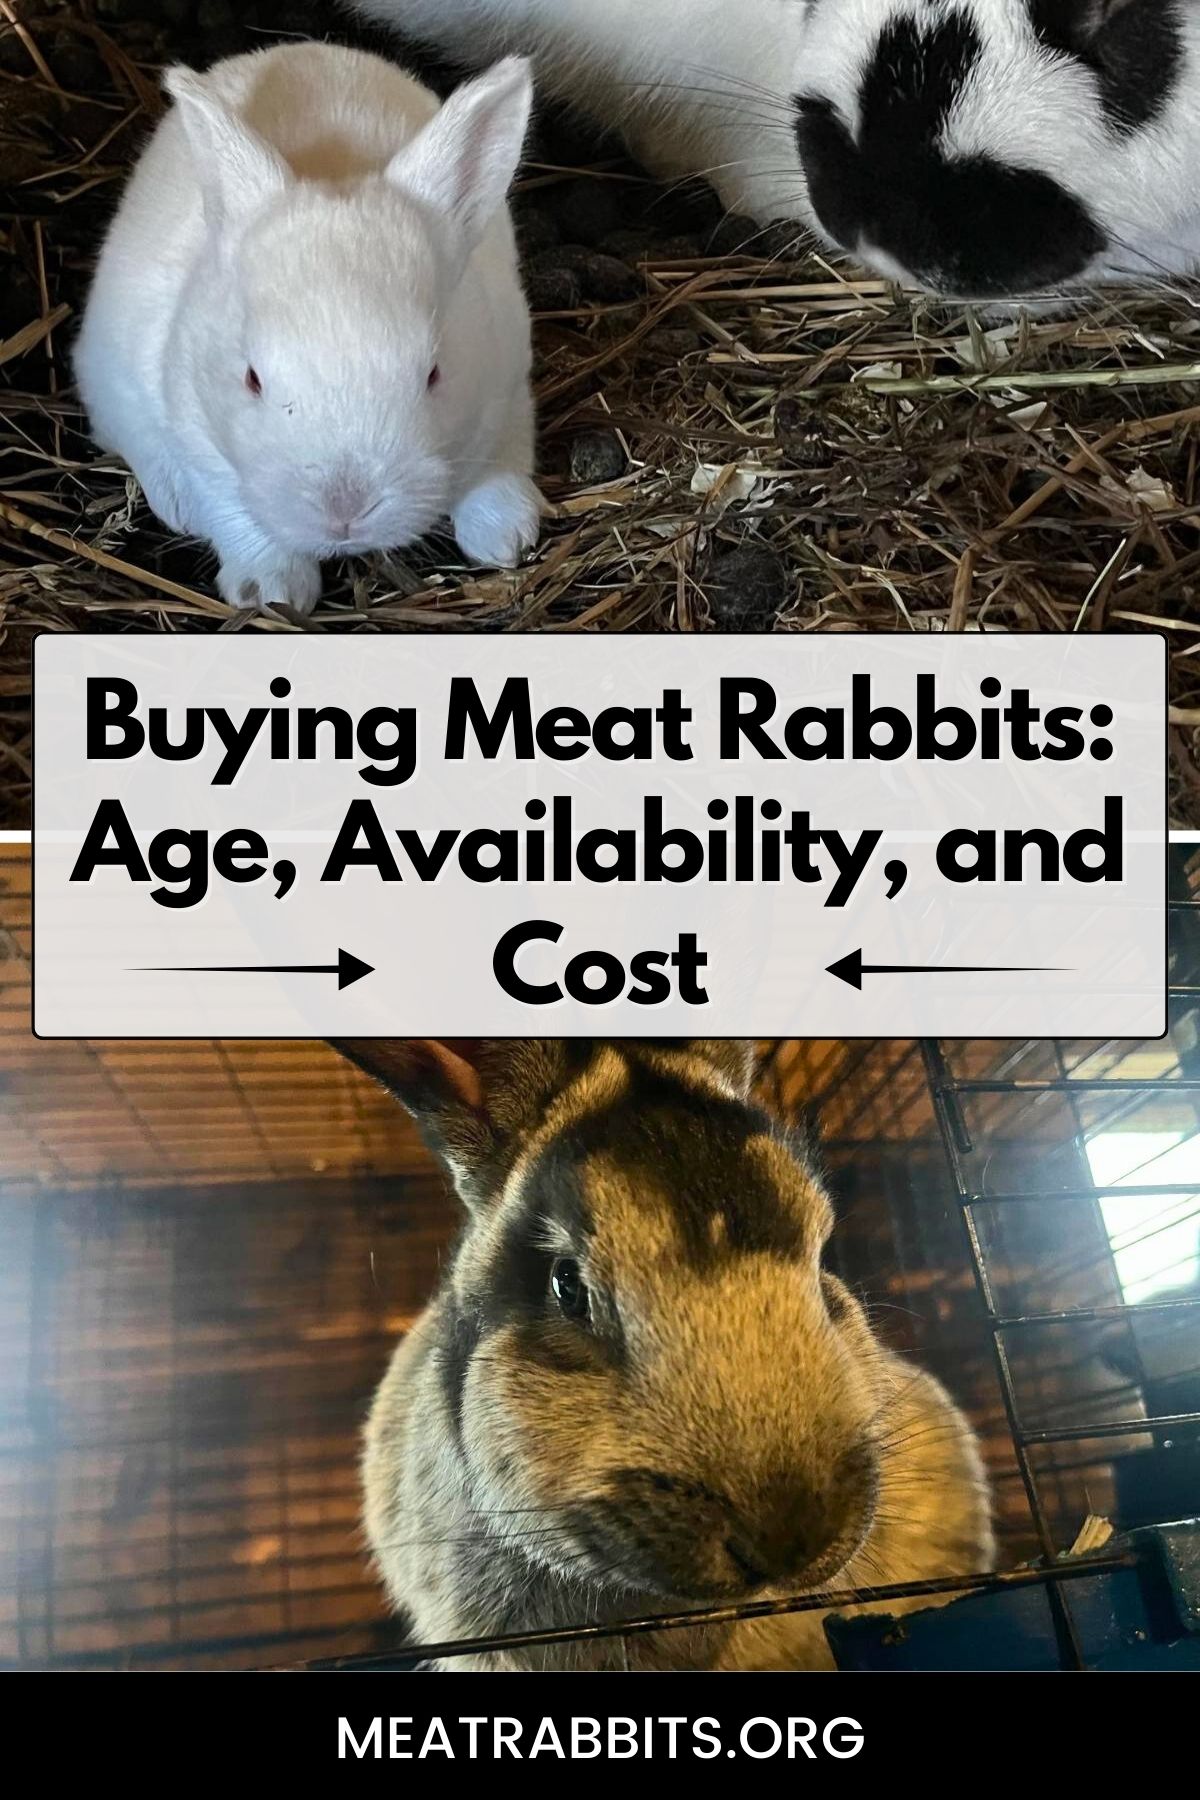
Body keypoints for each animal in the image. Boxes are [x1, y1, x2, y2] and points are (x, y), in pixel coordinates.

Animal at [74, 43, 541, 616]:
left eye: (435, 374)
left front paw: (506, 539)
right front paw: (270, 590)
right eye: (252, 379)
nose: (345, 510)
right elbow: (234, 511)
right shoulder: (200, 440)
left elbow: (500, 463)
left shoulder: (509, 388)